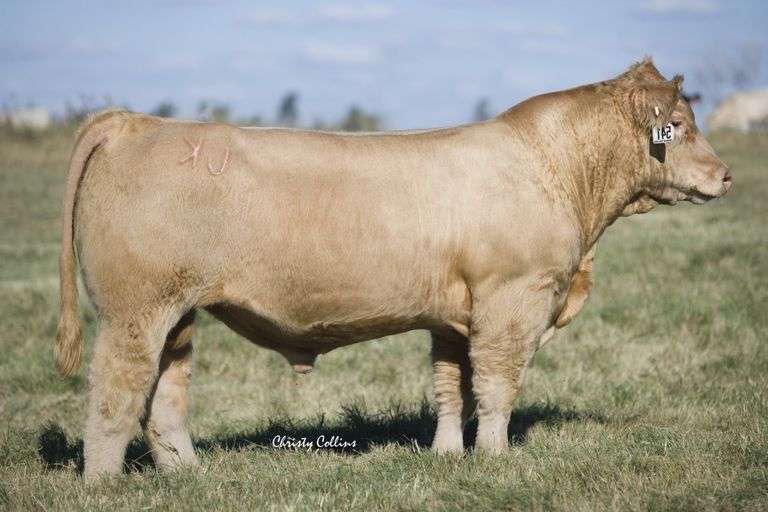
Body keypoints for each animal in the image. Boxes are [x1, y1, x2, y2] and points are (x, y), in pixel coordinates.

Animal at [55, 58, 731, 478]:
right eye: (680, 125)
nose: (725, 175)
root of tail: (136, 123)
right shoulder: (512, 300)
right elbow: (498, 384)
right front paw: (496, 459)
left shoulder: (453, 317)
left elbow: (450, 387)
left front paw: (447, 457)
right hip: (133, 309)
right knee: (115, 390)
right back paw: (104, 483)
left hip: (178, 312)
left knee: (165, 392)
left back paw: (188, 473)